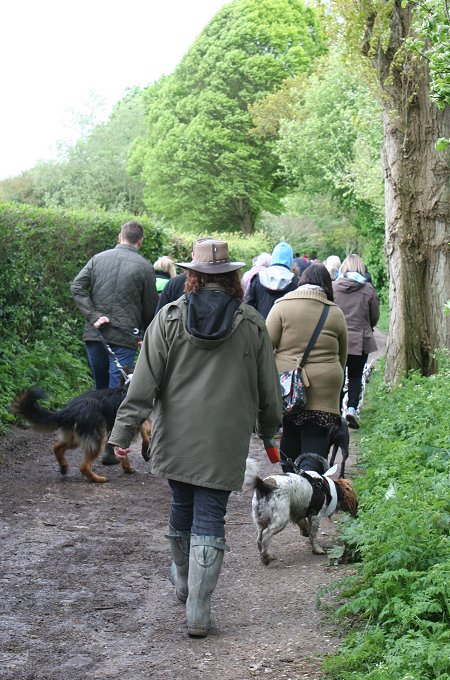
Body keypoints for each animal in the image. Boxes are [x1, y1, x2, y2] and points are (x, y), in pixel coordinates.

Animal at [11, 386, 151, 480]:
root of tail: (71, 409)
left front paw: (127, 467)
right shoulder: (141, 423)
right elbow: (146, 436)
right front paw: (145, 453)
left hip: (76, 439)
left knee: (57, 447)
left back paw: (63, 466)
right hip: (98, 439)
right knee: (84, 467)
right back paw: (97, 479)